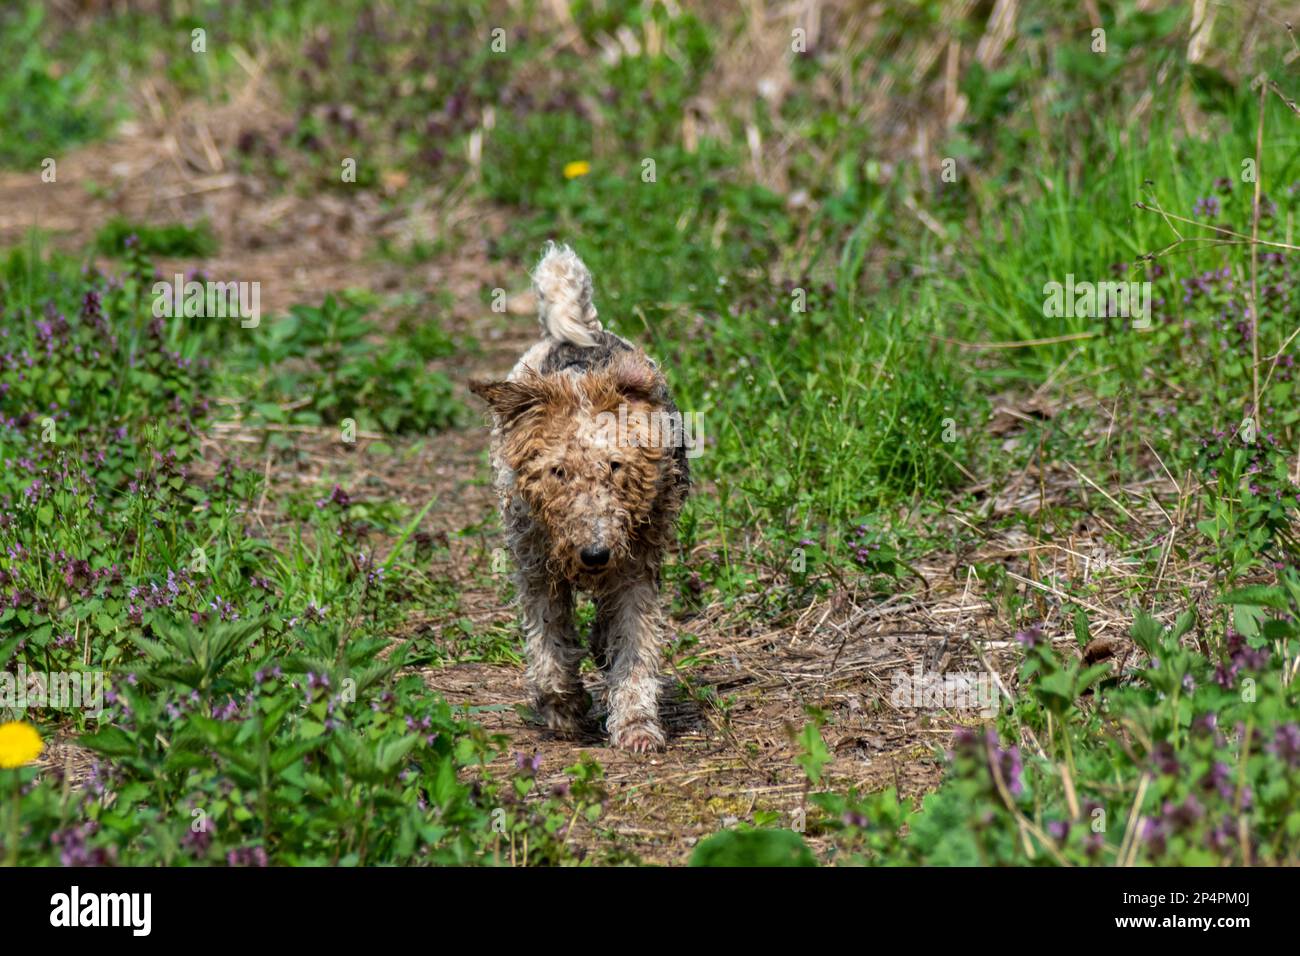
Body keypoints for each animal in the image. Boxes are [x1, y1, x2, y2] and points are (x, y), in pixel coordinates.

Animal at [470, 243, 691, 749]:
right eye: (558, 471)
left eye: (616, 466)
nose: (593, 554)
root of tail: (578, 333)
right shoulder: (536, 567)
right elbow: (549, 641)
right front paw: (563, 705)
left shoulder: (635, 565)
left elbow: (635, 644)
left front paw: (635, 724)